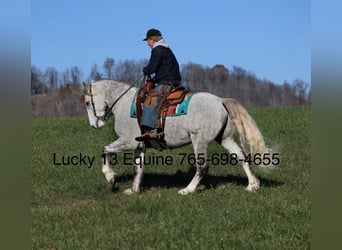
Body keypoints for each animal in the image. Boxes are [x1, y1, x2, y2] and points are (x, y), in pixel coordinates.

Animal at [83, 79, 278, 194]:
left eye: (86, 102)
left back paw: (188, 190)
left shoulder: (128, 141)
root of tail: (221, 101)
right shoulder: (139, 146)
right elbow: (137, 168)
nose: (94, 125)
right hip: (225, 139)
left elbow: (105, 150)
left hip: (199, 141)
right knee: (241, 157)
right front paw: (133, 190)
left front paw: (110, 177)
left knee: (203, 167)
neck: (123, 104)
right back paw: (252, 184)